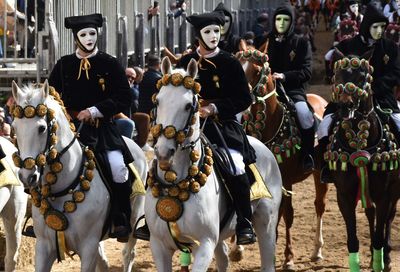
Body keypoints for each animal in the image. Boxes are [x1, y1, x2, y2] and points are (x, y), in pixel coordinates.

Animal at [11, 82, 148, 270]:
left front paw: (88, 113)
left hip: (134, 220)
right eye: (15, 127)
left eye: (42, 128)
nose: (27, 177)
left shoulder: (88, 247)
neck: (62, 189)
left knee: (128, 254)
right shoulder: (43, 247)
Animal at [145, 56, 282, 270]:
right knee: (223, 258)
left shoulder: (204, 244)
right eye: (158, 101)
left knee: (267, 260)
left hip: (266, 223)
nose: (163, 152)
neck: (175, 183)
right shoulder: (158, 246)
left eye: (188, 106)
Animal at [236, 44, 330, 270]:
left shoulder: (285, 179)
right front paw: (238, 248)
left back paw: (317, 250)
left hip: (318, 173)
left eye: (255, 70)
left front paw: (288, 257)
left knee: (319, 206)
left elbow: (287, 214)